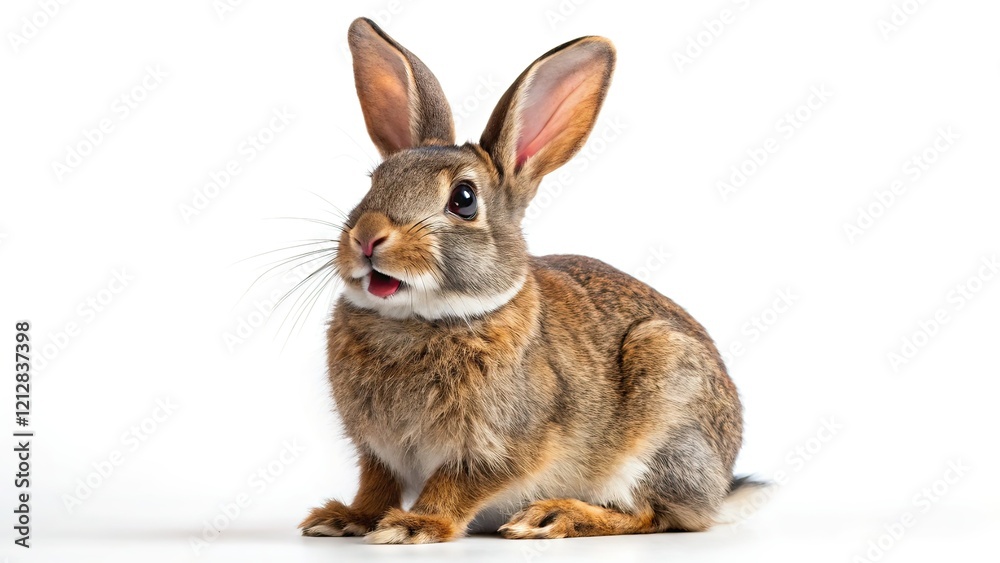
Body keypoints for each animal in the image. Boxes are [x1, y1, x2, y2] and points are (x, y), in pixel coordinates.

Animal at [299, 17, 765, 544]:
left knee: (653, 514)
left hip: (665, 411)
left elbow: (457, 483)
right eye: (374, 181)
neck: (417, 321)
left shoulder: (504, 444)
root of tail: (720, 484)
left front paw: (414, 526)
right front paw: (346, 518)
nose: (367, 236)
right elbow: (376, 484)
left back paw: (554, 516)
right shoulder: (378, 452)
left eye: (463, 199)